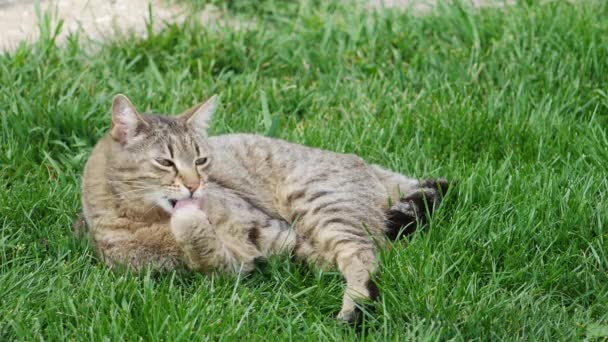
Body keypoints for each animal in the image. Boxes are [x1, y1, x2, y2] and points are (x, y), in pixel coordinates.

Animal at [79, 93, 452, 324]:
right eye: (165, 162)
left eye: (201, 160)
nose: (195, 185)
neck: (148, 219)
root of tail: (365, 164)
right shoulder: (229, 266)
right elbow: (204, 246)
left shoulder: (271, 230)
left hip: (316, 201)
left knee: (366, 254)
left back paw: (356, 307)